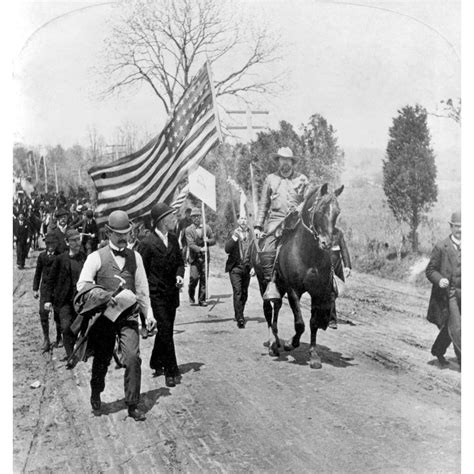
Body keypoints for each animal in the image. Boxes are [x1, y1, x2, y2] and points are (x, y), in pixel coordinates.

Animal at [250, 183, 342, 368]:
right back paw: (273, 345)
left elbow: (313, 323)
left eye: (337, 212)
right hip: (264, 283)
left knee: (277, 307)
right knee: (268, 310)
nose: (327, 243)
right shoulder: (293, 290)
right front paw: (290, 344)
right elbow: (299, 323)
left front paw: (314, 355)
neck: (308, 253)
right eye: (320, 210)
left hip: (280, 287)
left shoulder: (318, 292)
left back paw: (277, 342)